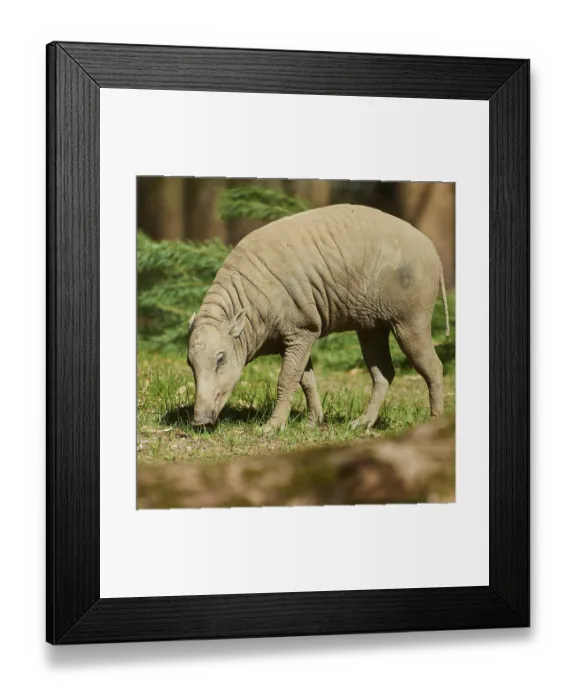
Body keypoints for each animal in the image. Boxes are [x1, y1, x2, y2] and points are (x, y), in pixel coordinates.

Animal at [187, 204, 450, 431]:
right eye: (190, 363)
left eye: (221, 359)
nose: (199, 421)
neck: (251, 301)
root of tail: (435, 253)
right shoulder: (290, 339)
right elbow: (306, 380)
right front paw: (313, 422)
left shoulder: (302, 329)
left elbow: (287, 378)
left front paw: (273, 427)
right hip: (372, 327)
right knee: (384, 373)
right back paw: (361, 423)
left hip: (411, 319)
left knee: (434, 366)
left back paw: (434, 420)